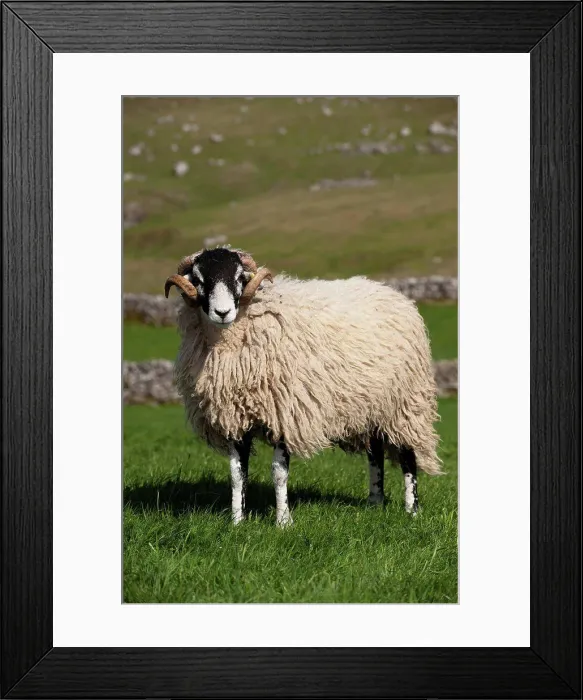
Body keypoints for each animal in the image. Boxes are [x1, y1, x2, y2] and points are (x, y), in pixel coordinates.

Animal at [165, 246, 442, 526]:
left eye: (239, 277)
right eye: (199, 279)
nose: (222, 313)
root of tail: (394, 294)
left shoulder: (285, 413)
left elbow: (278, 472)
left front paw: (283, 522)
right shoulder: (234, 417)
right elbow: (237, 473)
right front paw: (237, 521)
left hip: (405, 404)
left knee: (408, 455)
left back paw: (412, 510)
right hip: (372, 405)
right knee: (375, 453)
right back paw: (375, 502)